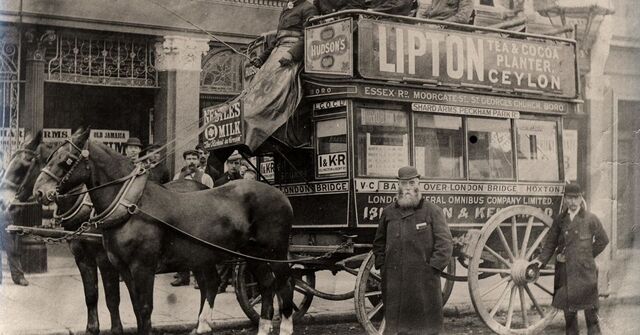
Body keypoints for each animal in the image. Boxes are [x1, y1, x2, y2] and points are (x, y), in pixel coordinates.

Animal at [33, 129, 296, 335]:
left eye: (67, 160)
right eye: (49, 157)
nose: (39, 191)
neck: (131, 205)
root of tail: (281, 194)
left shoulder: (141, 267)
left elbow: (142, 308)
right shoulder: (121, 267)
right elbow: (128, 305)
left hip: (275, 252)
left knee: (285, 282)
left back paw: (285, 326)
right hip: (248, 253)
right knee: (263, 284)